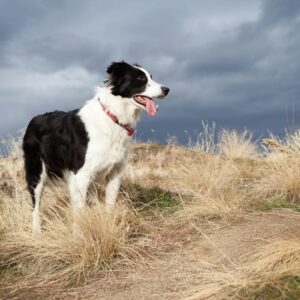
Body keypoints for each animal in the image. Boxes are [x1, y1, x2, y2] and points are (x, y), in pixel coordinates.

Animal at [23, 62, 169, 233]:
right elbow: (79, 212)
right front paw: (79, 235)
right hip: (36, 172)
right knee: (35, 205)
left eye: (151, 77)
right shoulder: (80, 175)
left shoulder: (114, 173)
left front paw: (108, 226)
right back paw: (36, 231)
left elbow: (109, 205)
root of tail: (34, 119)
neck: (113, 116)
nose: (167, 89)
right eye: (140, 78)